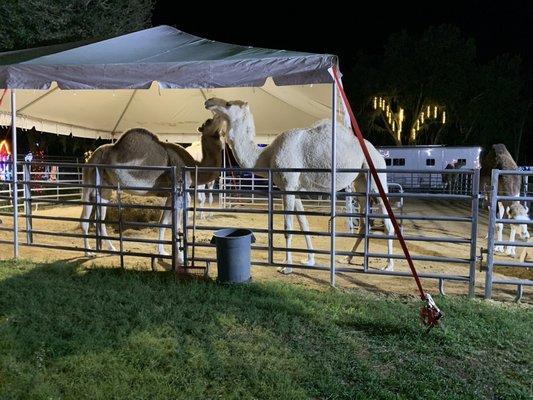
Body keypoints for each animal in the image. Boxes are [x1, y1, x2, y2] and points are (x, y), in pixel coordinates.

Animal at [81, 115, 224, 262]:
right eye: (208, 121)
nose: (219, 116)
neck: (192, 165)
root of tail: (92, 156)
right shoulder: (180, 191)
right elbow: (178, 225)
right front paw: (180, 258)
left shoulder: (170, 195)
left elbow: (164, 222)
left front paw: (162, 252)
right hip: (89, 179)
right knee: (85, 218)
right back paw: (88, 252)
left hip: (105, 187)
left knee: (100, 219)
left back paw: (111, 249)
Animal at [205, 97, 394, 274]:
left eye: (228, 104)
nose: (209, 102)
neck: (266, 156)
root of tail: (378, 153)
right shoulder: (293, 189)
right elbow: (304, 224)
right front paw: (309, 260)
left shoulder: (288, 186)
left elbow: (288, 227)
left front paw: (286, 266)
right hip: (360, 183)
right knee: (364, 222)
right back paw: (348, 258)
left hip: (376, 176)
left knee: (387, 221)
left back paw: (388, 265)